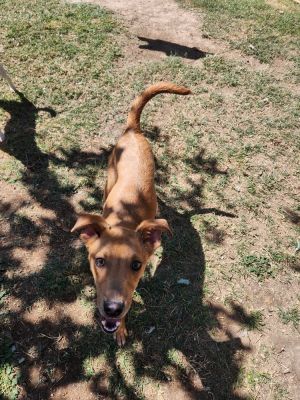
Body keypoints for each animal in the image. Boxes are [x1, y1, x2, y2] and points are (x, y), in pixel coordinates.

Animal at [71, 81, 191, 344]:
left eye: (136, 265)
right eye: (100, 261)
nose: (112, 309)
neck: (124, 219)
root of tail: (133, 130)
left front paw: (121, 328)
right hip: (110, 175)